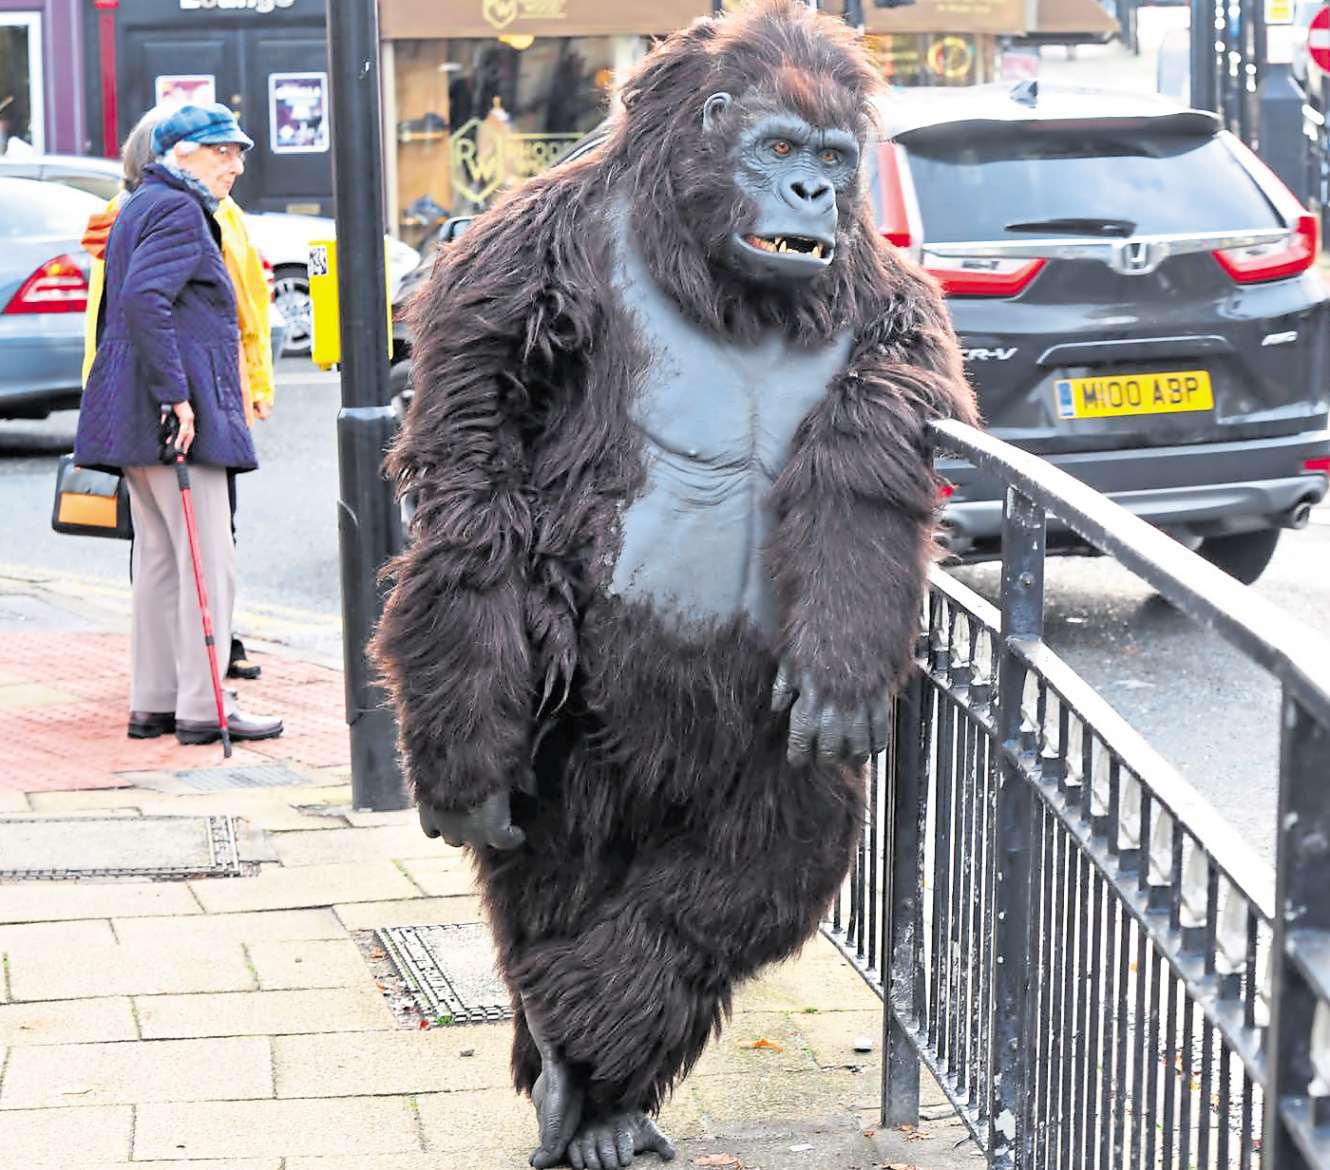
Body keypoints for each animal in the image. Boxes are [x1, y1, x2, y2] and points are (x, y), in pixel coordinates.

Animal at [372, 3, 978, 1167]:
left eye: (837, 157)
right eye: (778, 148)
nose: (814, 192)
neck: (705, 261)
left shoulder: (890, 303)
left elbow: (867, 475)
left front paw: (843, 667)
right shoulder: (513, 262)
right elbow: (474, 484)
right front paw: (463, 772)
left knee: (750, 864)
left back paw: (598, 1072)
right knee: (554, 856)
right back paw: (570, 1068)